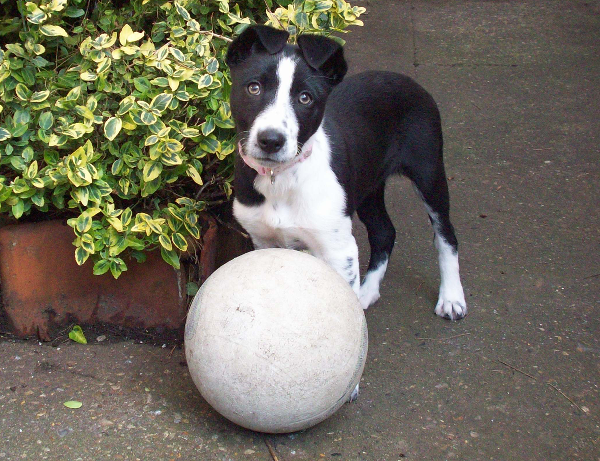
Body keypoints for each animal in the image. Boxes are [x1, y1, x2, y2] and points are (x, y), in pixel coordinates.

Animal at [227, 25, 466, 320]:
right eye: (254, 88)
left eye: (305, 98)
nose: (271, 141)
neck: (279, 179)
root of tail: (406, 79)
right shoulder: (263, 240)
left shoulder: (338, 249)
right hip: (368, 186)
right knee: (384, 231)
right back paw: (367, 292)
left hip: (429, 172)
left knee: (445, 234)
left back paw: (452, 297)